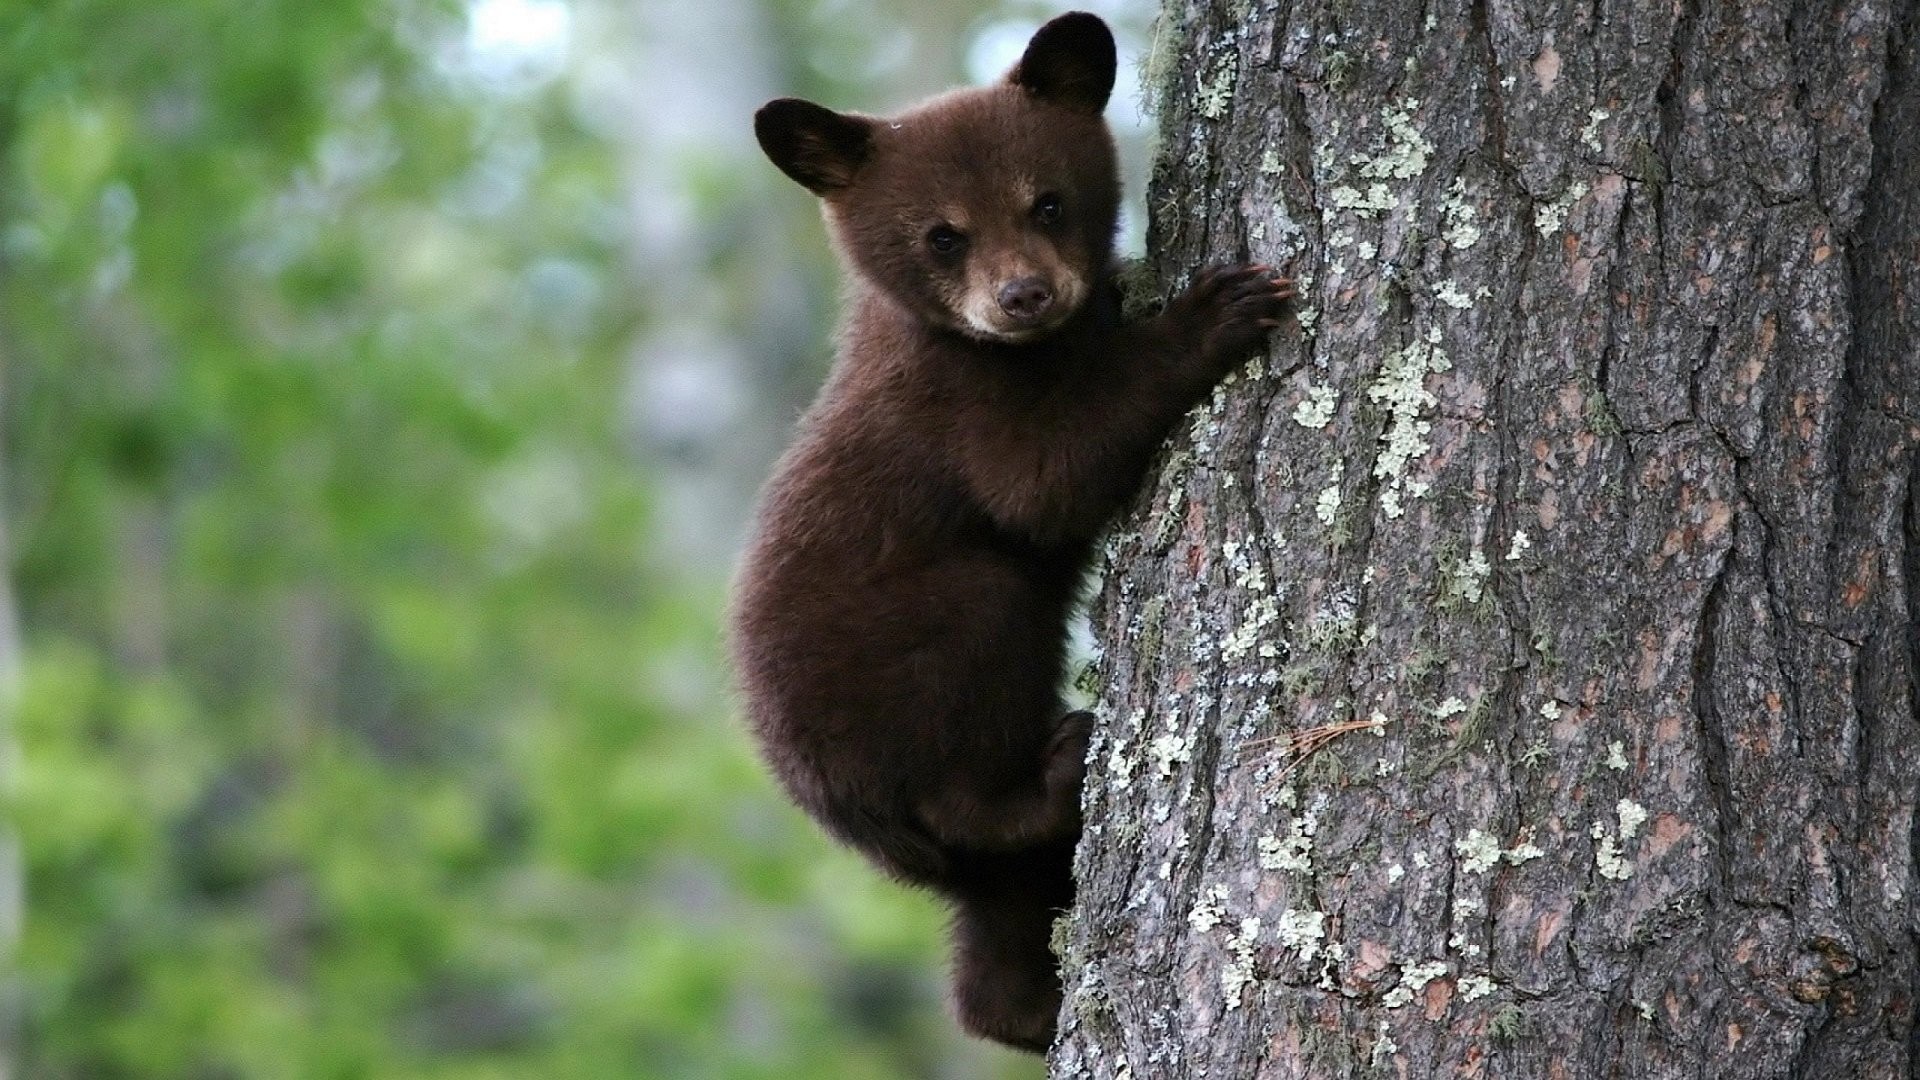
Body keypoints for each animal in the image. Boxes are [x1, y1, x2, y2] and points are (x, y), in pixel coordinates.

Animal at [729, 11, 1293, 1053]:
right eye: (943, 235)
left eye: (1049, 202)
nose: (1024, 295)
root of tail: (843, 815)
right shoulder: (955, 407)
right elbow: (1045, 482)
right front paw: (1216, 309)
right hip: (916, 660)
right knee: (972, 732)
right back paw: (1058, 765)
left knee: (994, 934)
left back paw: (1026, 1009)